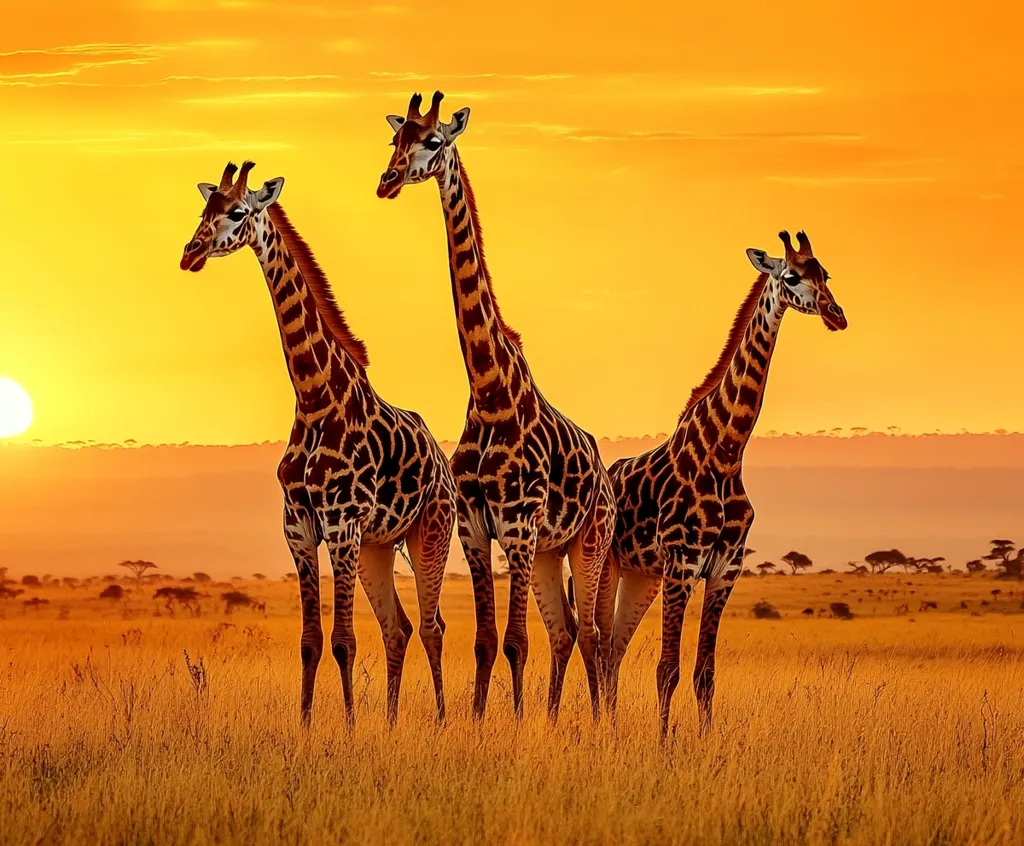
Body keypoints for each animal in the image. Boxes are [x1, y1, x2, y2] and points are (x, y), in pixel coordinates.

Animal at [179, 161, 456, 725]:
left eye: (236, 213)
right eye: (203, 211)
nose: (190, 253)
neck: (312, 397)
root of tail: (443, 463)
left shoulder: (342, 523)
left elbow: (344, 640)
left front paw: (348, 730)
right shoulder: (299, 528)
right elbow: (310, 641)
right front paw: (307, 727)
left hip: (430, 532)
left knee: (433, 625)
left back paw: (441, 721)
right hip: (377, 546)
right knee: (399, 628)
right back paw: (390, 724)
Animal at [376, 92, 615, 720]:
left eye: (434, 141)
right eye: (395, 139)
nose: (387, 181)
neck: (489, 392)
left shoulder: (520, 524)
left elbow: (515, 640)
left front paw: (515, 724)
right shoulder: (476, 527)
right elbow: (486, 640)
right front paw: (484, 721)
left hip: (588, 541)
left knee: (592, 633)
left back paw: (597, 720)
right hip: (553, 552)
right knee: (567, 631)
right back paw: (555, 719)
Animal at [597, 231, 847, 737]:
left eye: (825, 273)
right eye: (791, 277)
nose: (837, 315)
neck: (726, 453)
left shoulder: (724, 570)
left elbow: (704, 673)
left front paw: (705, 741)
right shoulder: (682, 564)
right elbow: (667, 669)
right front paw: (664, 744)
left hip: (640, 575)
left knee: (614, 650)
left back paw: (612, 731)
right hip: (609, 565)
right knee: (599, 647)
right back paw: (605, 730)